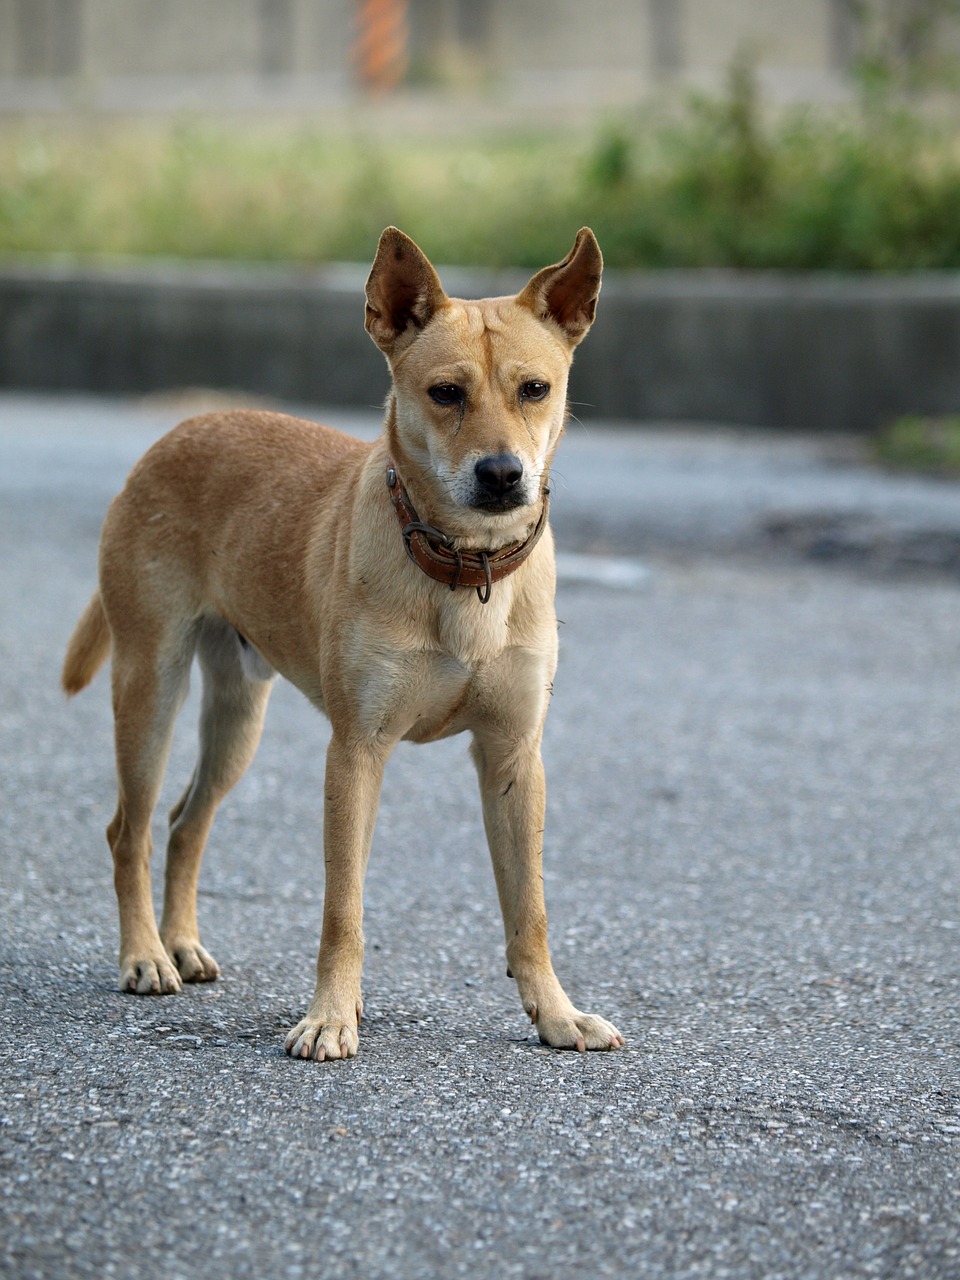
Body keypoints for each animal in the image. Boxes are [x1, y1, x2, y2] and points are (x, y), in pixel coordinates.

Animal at [64, 230, 627, 1059]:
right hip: (149, 691)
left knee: (184, 823)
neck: (463, 568)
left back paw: (181, 943)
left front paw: (557, 1013)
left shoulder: (514, 759)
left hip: (237, 719)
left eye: (535, 389)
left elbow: (530, 911)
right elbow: (343, 908)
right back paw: (144, 955)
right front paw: (331, 1015)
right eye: (446, 393)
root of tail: (179, 430)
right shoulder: (356, 752)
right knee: (128, 830)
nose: (502, 475)